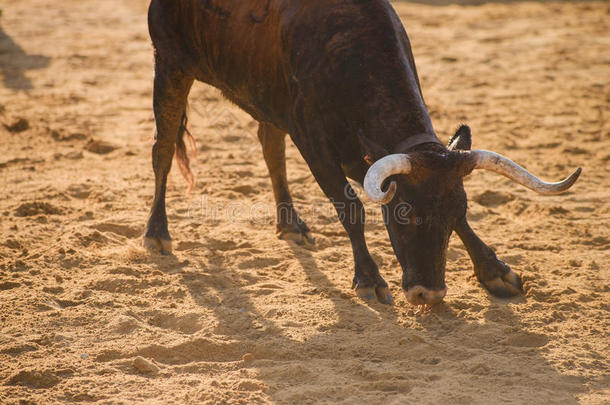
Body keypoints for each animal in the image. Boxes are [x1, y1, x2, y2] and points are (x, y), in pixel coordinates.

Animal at [142, 0, 580, 304]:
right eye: (406, 214)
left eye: (457, 212)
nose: (429, 294)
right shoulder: (313, 141)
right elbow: (350, 208)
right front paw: (369, 279)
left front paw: (495, 271)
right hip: (170, 65)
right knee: (163, 149)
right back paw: (157, 233)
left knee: (269, 145)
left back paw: (291, 225)